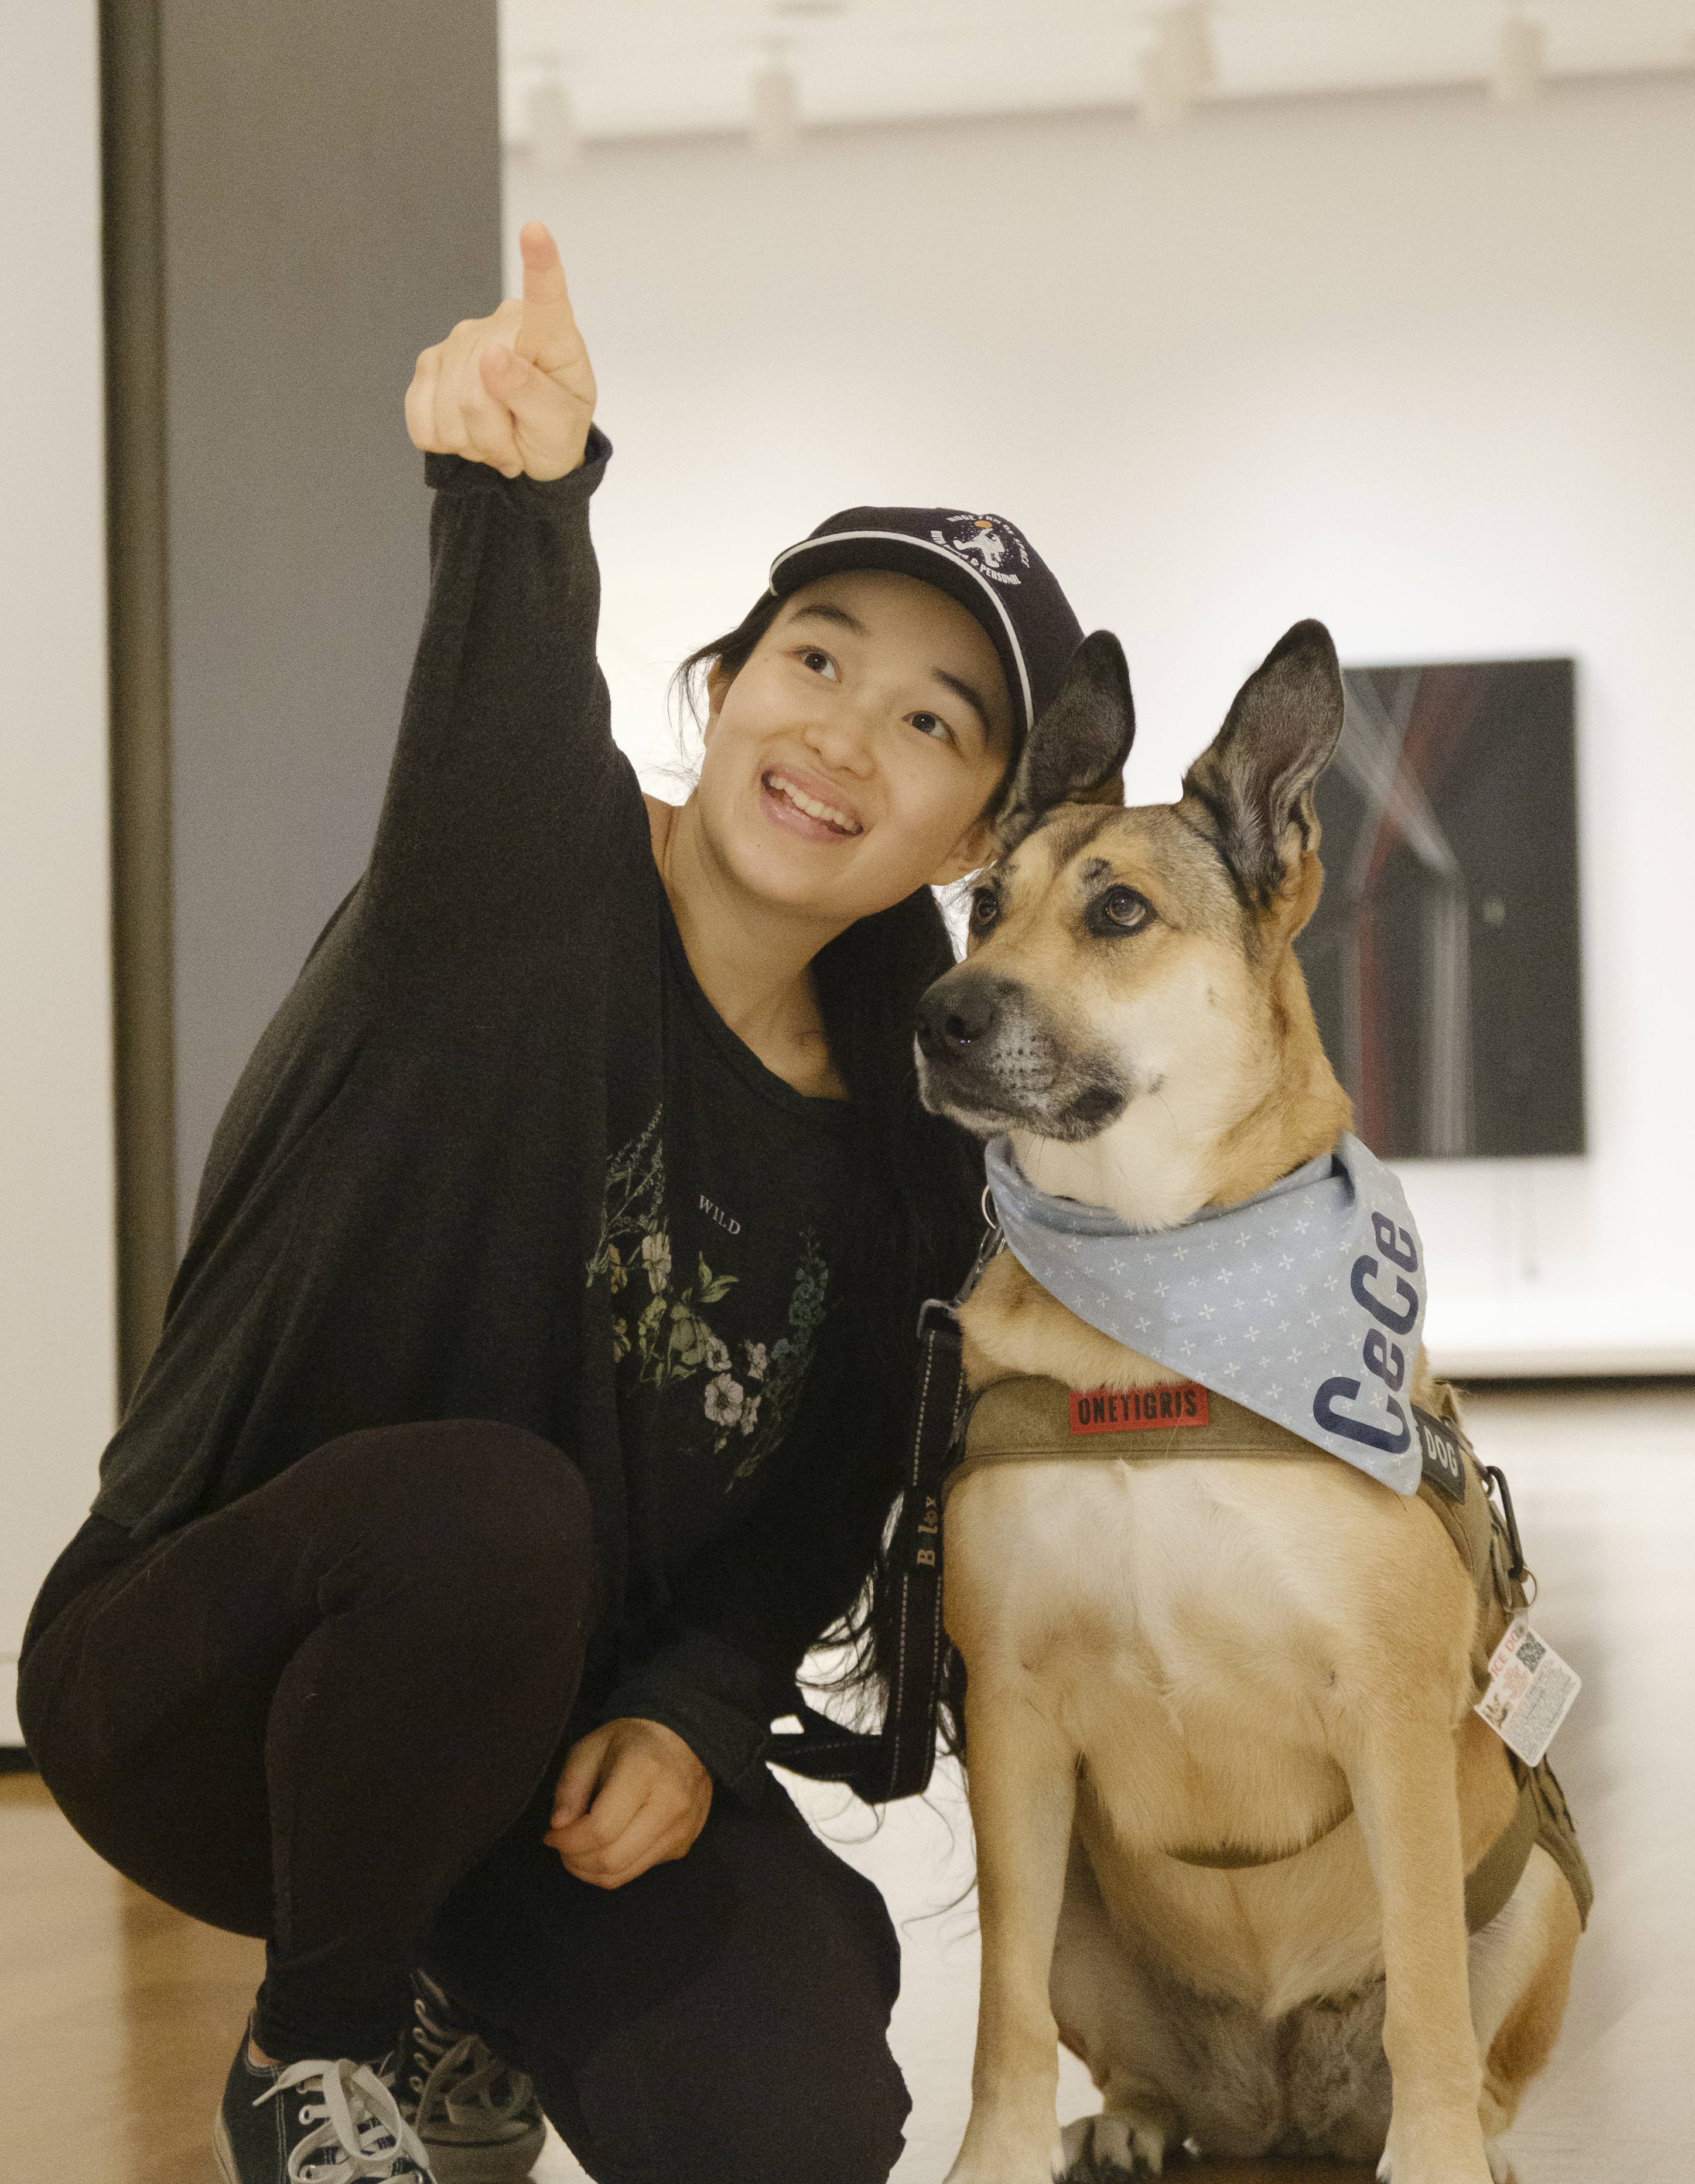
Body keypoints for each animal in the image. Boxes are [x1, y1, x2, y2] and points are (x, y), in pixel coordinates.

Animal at [913, 625, 1590, 2184]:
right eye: (983, 906)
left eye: (1117, 911)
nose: (938, 1015)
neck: (1157, 1319)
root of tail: (1277, 2106)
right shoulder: (1012, 1717)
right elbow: (999, 2015)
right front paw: (995, 2157)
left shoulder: (1389, 1714)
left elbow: (1426, 1995)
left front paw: (1441, 2161)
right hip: (1085, 1901)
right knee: (1108, 2038)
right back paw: (1136, 2118)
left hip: (1537, 1888)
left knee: (1461, 2040)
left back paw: (1467, 2140)